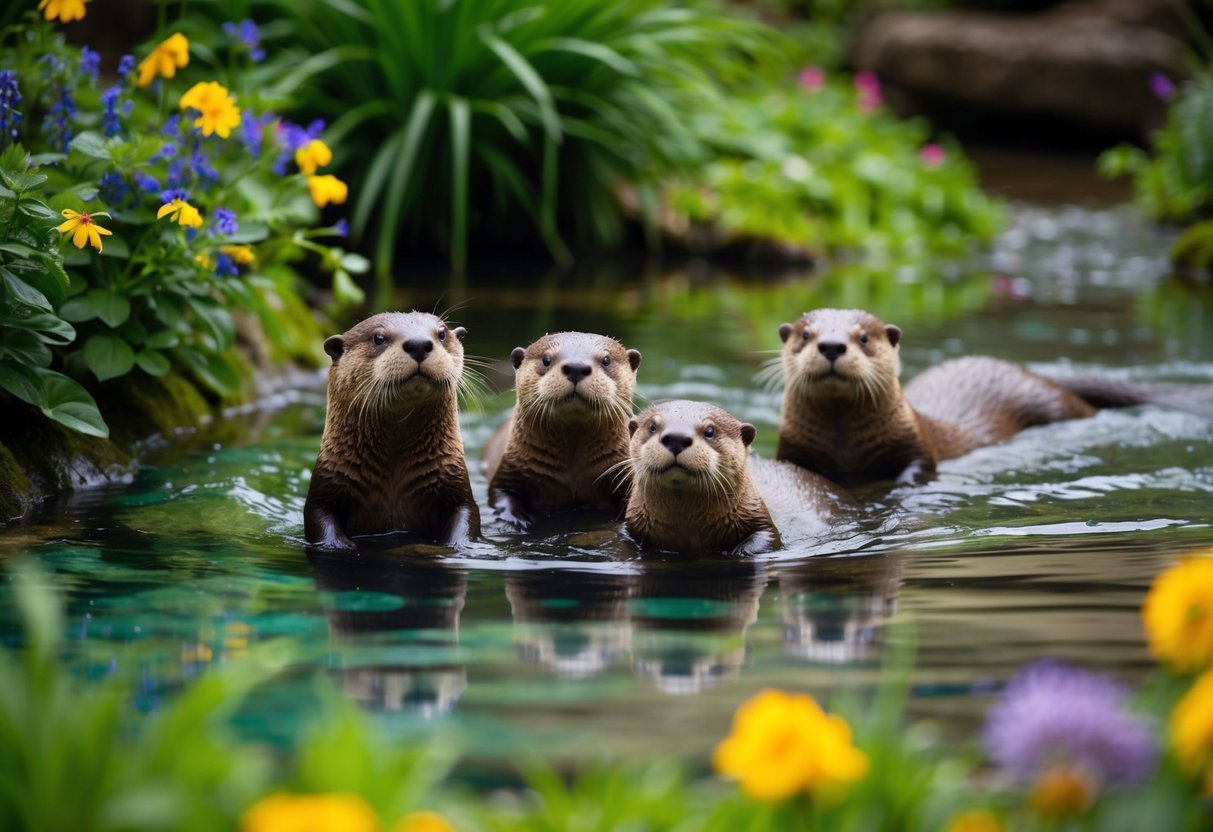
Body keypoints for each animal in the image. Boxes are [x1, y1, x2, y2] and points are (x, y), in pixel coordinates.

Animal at [304, 311, 480, 550]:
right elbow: (319, 517)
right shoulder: (325, 488)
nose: (419, 344)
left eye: (442, 334)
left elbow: (466, 513)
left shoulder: (454, 483)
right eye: (379, 338)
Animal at [482, 332, 642, 530]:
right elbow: (500, 494)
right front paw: (517, 521)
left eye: (606, 360)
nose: (576, 368)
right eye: (546, 359)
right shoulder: (510, 470)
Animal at [624, 400, 837, 556]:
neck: (689, 531)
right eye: (652, 426)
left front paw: (742, 551)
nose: (677, 438)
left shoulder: (759, 518)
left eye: (710, 431)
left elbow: (768, 537)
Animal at [774, 308, 1100, 486]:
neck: (845, 449)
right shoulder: (792, 451)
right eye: (806, 335)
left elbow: (918, 467)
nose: (831, 345)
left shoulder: (916, 446)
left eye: (863, 337)